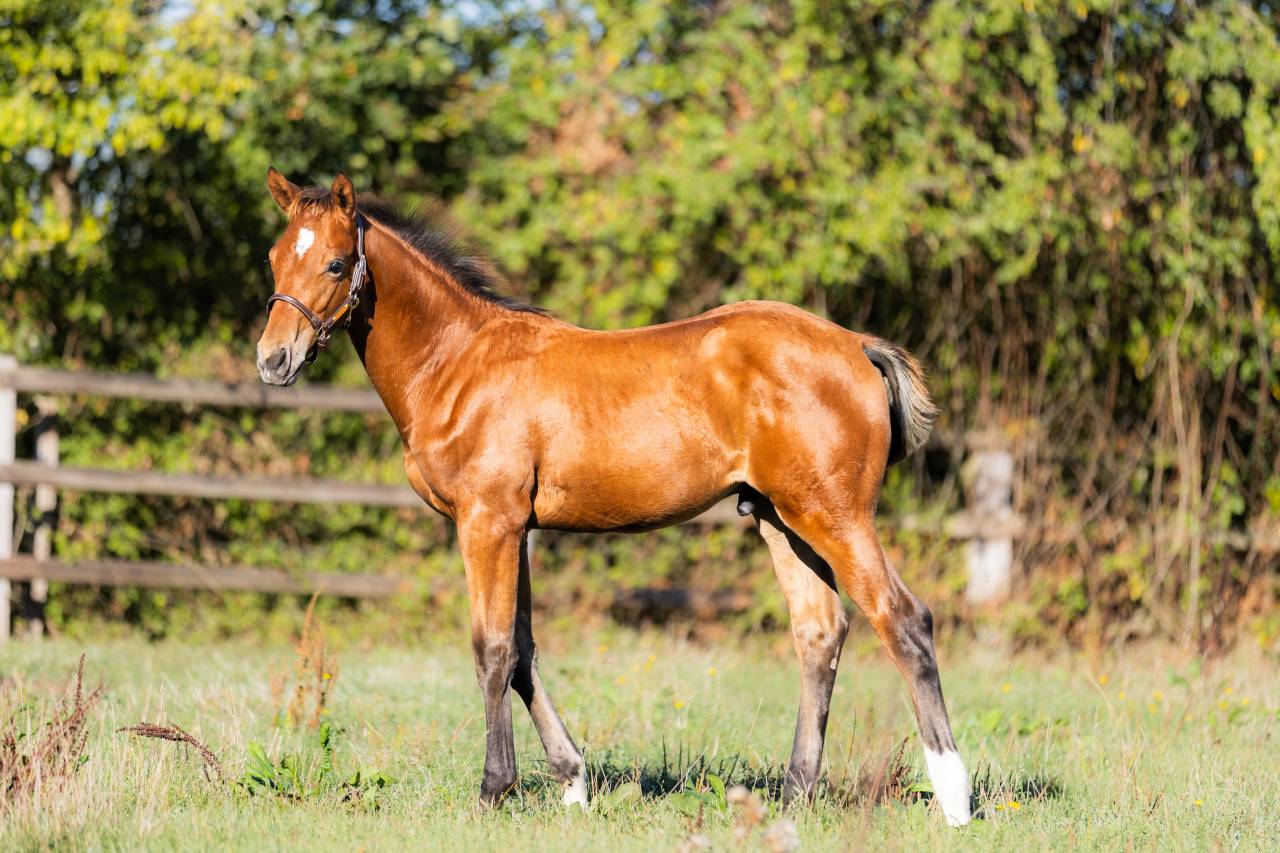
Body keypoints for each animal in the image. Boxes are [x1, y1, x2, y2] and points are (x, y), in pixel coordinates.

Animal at [255, 169, 972, 827]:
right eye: (274, 257)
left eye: (336, 262)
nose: (273, 361)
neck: (459, 363)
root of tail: (857, 343)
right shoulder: (519, 527)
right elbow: (523, 651)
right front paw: (573, 781)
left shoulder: (487, 522)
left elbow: (492, 649)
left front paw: (494, 789)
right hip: (782, 519)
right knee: (820, 633)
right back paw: (795, 795)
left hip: (835, 515)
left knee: (904, 620)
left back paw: (955, 799)